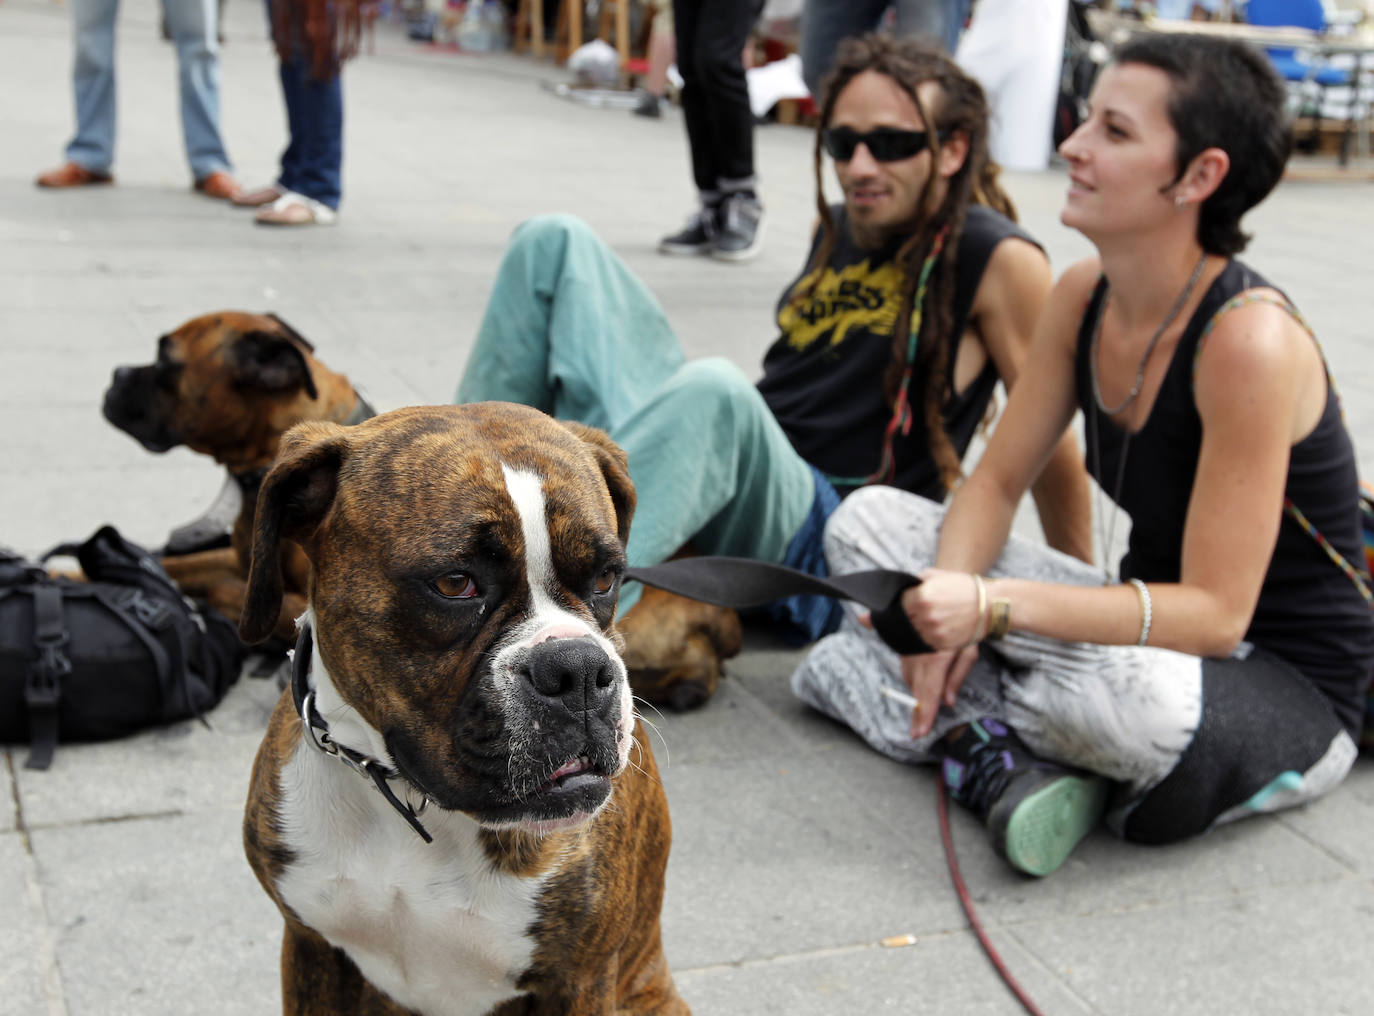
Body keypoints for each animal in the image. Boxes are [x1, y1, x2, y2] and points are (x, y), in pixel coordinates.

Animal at [239, 404, 687, 1016]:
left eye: (605, 578)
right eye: (455, 583)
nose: (577, 670)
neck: (411, 806)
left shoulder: (579, 979)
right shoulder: (312, 946)